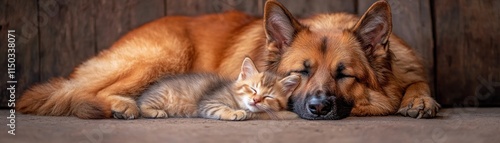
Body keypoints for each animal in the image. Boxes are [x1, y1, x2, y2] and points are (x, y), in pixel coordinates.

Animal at [137, 57, 300, 120]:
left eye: (268, 97)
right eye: (252, 89)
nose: (255, 100)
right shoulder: (209, 102)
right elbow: (220, 108)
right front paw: (234, 113)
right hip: (163, 95)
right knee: (141, 106)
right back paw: (155, 111)